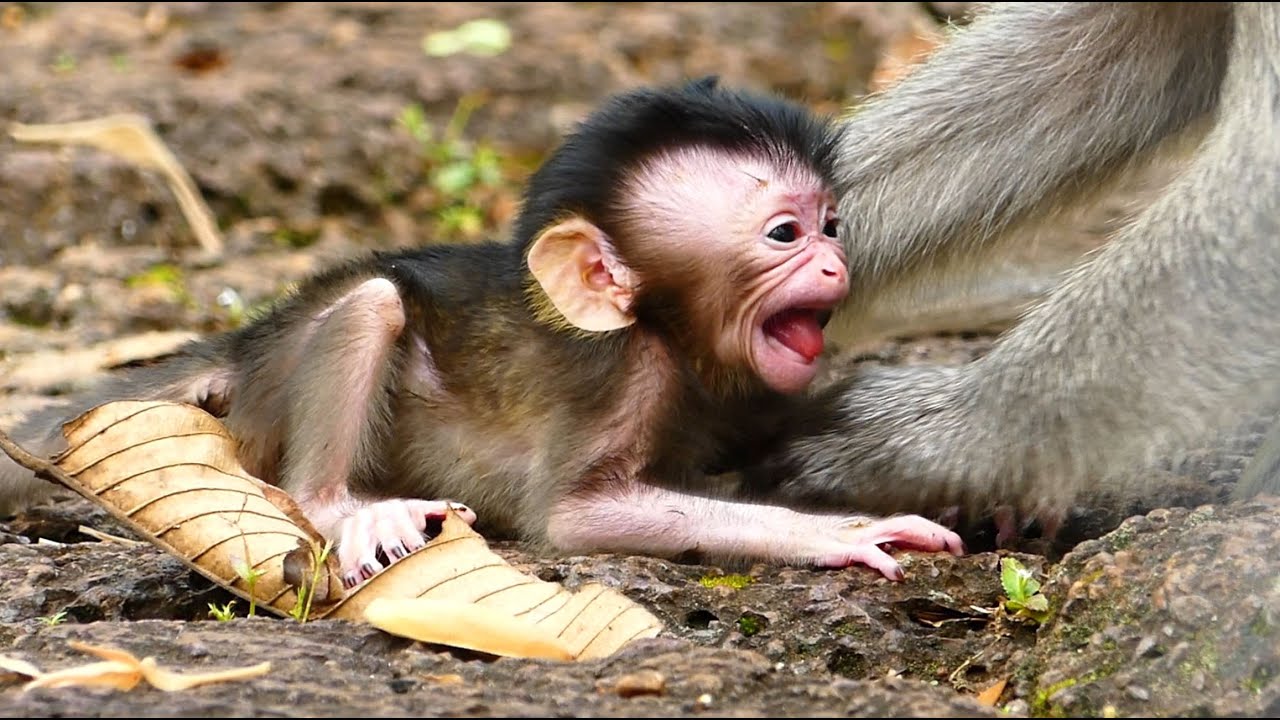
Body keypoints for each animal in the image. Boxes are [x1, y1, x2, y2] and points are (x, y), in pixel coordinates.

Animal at [0, 78, 963, 588]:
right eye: (784, 234)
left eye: (831, 226)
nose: (836, 265)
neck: (663, 327)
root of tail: (246, 343)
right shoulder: (631, 372)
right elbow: (577, 517)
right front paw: (844, 532)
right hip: (283, 386)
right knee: (373, 306)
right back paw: (342, 505)